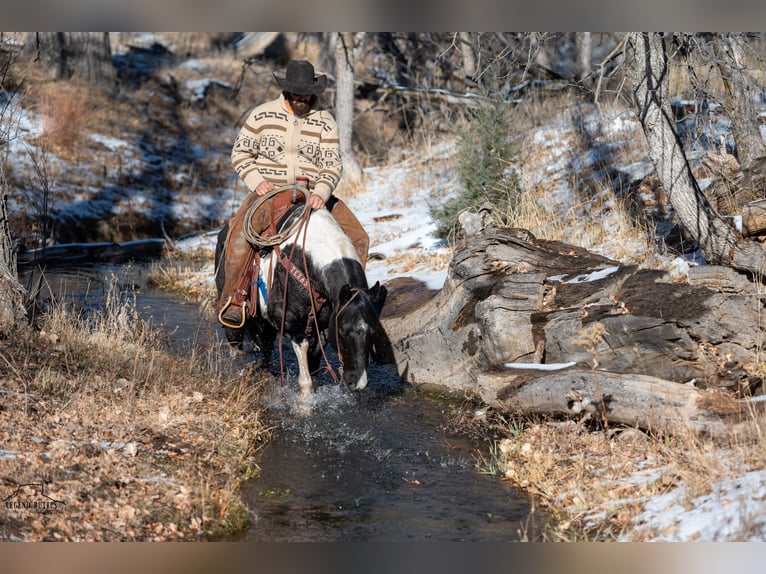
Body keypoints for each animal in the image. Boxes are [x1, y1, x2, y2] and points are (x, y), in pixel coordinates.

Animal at [218, 208, 392, 400]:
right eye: (342, 330)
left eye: (373, 331)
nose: (358, 383)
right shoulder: (288, 321)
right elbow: (305, 367)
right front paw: (305, 400)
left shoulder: (321, 327)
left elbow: (314, 362)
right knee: (235, 344)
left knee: (266, 348)